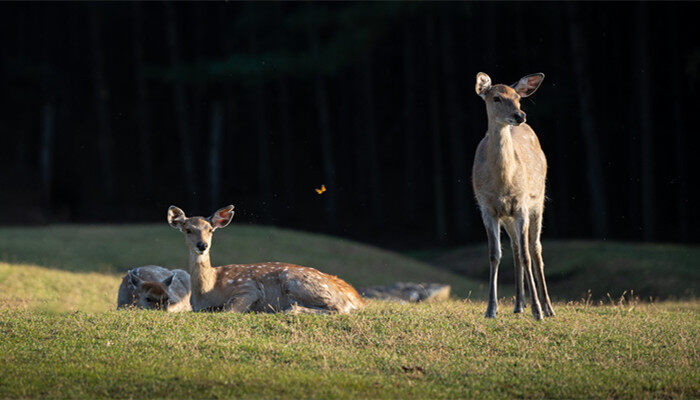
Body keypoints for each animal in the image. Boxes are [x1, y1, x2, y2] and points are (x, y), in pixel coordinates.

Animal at [167, 205, 364, 314]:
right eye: (188, 230)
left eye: (210, 230)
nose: (202, 245)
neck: (207, 290)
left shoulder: (248, 287)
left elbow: (230, 309)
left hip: (298, 282)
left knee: (339, 308)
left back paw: (288, 310)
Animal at [474, 72, 556, 322]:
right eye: (497, 98)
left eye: (518, 98)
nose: (520, 115)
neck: (503, 183)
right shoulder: (487, 208)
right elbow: (494, 254)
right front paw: (490, 309)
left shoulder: (521, 206)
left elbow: (528, 255)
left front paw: (537, 311)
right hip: (508, 217)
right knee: (516, 249)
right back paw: (519, 304)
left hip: (538, 202)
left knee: (535, 248)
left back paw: (547, 308)